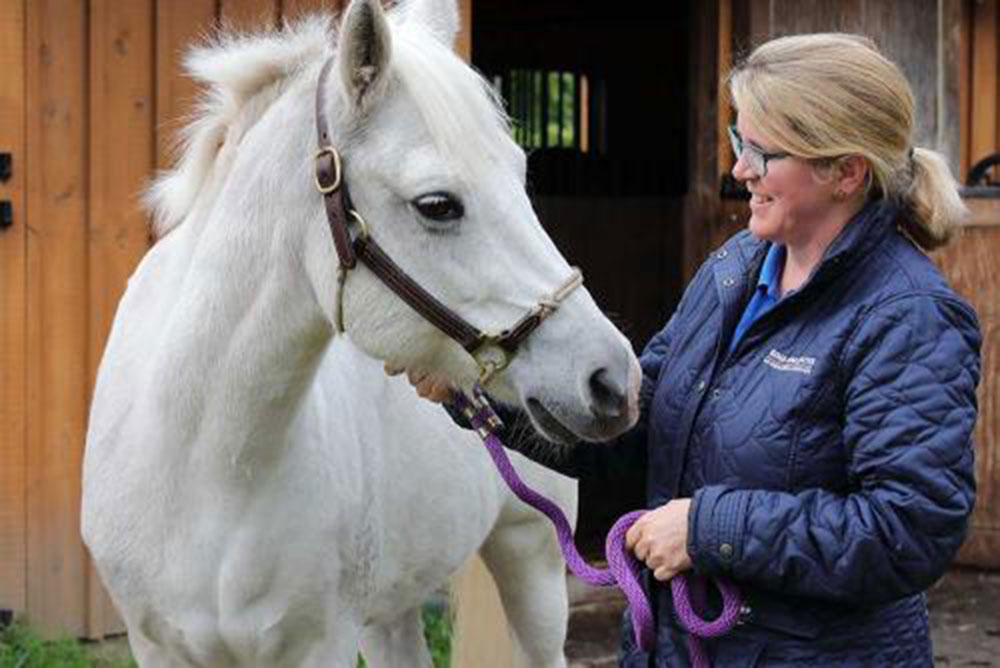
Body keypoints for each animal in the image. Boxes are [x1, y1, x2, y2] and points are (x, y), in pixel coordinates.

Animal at [80, 1, 640, 668]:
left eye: (520, 172)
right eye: (437, 204)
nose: (612, 379)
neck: (206, 467)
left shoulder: (321, 645)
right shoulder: (158, 646)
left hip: (532, 556)